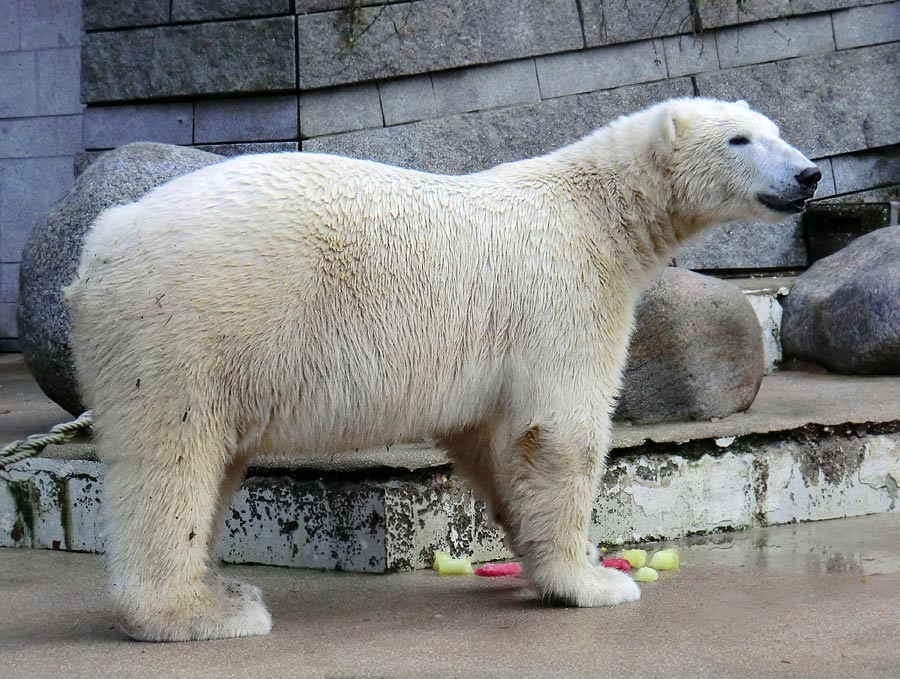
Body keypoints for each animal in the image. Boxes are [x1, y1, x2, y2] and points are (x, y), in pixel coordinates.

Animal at [67, 98, 820, 640]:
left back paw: (223, 588)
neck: (598, 211)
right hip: (190, 327)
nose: (809, 173)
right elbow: (560, 430)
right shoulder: (562, 291)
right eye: (740, 140)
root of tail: (101, 243)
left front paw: (552, 567)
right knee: (173, 459)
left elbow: (492, 441)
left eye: (777, 131)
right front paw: (597, 582)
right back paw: (201, 613)